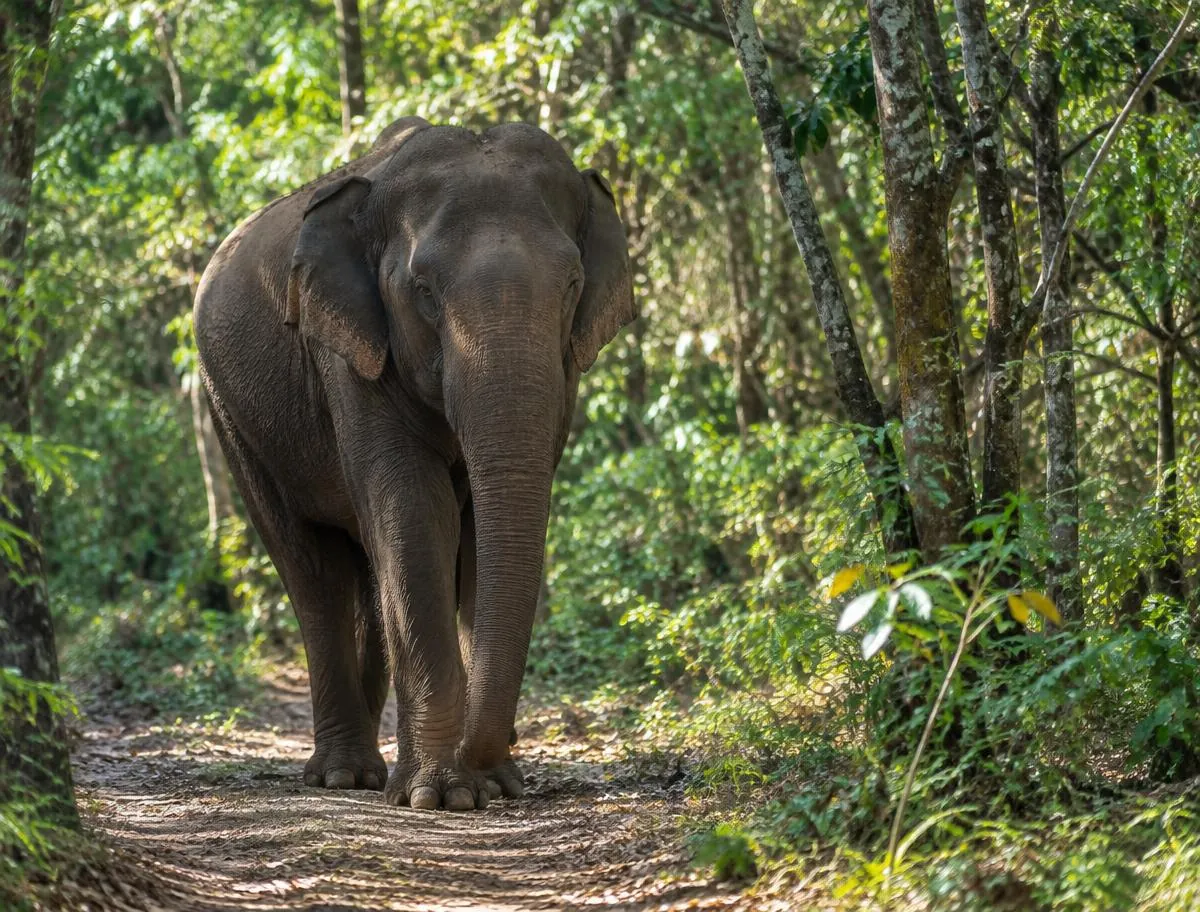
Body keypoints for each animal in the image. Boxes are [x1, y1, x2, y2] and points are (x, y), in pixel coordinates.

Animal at [192, 118, 636, 811]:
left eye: (570, 285)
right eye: (423, 291)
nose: (492, 756)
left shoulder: (564, 375)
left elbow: (478, 531)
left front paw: (489, 785)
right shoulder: (348, 357)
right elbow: (416, 517)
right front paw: (439, 795)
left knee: (370, 576)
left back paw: (370, 773)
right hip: (231, 418)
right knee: (313, 570)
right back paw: (343, 777)